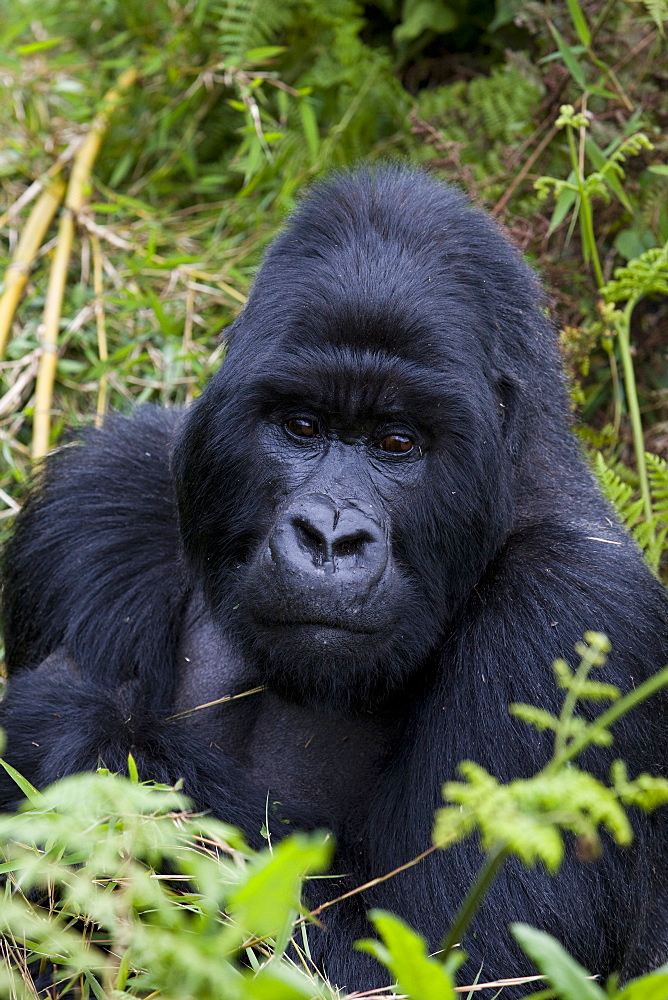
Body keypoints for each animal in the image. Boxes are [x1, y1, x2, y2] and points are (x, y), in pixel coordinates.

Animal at [1, 166, 668, 992]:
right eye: (302, 426)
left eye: (396, 443)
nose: (329, 537)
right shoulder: (96, 504)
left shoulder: (575, 610)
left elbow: (457, 962)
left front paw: (82, 731)